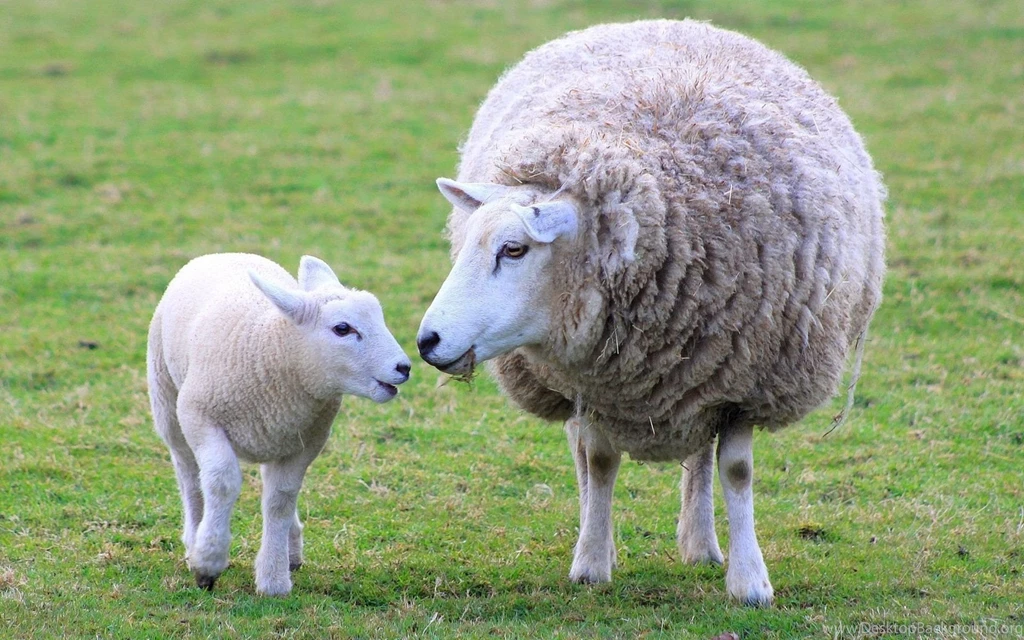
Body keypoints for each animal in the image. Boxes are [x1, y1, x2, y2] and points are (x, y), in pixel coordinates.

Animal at [147, 253, 411, 596]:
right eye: (342, 328)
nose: (403, 367)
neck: (273, 349)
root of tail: (225, 253)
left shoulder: (307, 440)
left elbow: (280, 500)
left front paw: (273, 578)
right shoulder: (200, 417)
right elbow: (221, 482)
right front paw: (208, 561)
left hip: (275, 434)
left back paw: (292, 549)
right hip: (168, 401)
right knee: (190, 477)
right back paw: (194, 539)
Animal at [416, 19, 885, 606]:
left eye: (514, 249)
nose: (427, 341)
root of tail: (672, 22)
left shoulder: (745, 379)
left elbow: (736, 471)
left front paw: (750, 581)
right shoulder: (597, 381)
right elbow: (598, 461)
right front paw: (592, 563)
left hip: (707, 376)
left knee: (701, 457)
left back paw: (702, 546)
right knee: (584, 455)